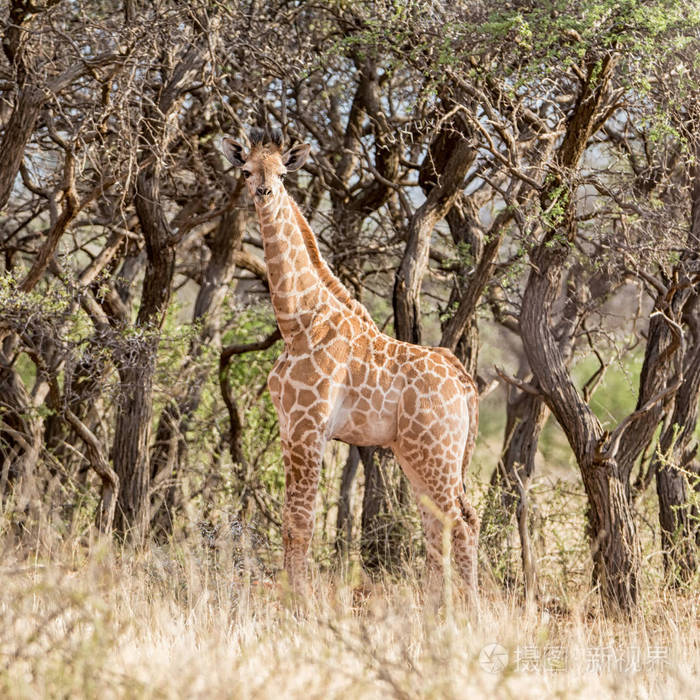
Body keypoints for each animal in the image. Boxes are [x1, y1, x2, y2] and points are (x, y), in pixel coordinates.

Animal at [223, 129, 482, 600]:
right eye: (247, 171)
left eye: (283, 173)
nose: (264, 194)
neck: (297, 321)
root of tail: (464, 381)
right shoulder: (289, 428)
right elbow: (290, 520)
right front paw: (292, 594)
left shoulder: (309, 427)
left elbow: (301, 522)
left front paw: (299, 600)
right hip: (417, 453)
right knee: (437, 522)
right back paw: (437, 608)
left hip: (436, 451)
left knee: (462, 521)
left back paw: (469, 608)